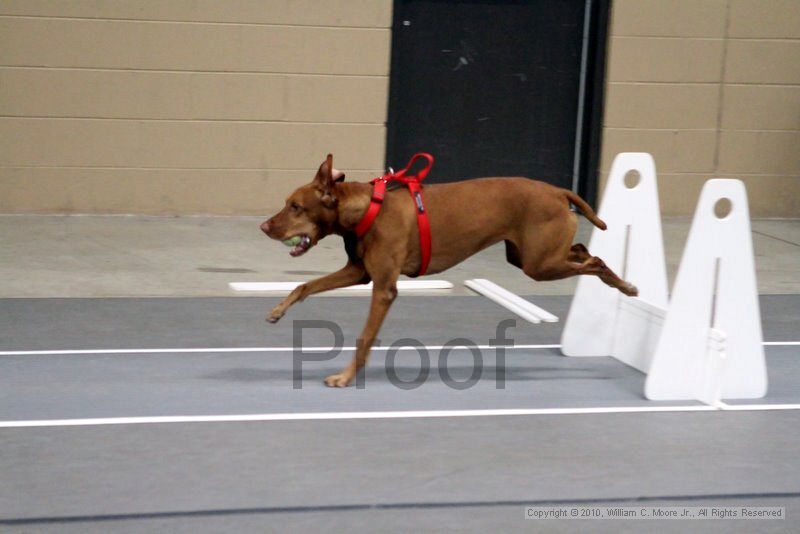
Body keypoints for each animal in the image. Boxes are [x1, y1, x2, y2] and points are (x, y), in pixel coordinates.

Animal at [262, 153, 636, 388]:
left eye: (296, 206)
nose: (264, 227)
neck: (368, 208)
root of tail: (558, 190)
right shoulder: (360, 273)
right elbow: (304, 287)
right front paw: (278, 310)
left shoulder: (383, 288)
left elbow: (365, 337)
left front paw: (345, 377)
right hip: (532, 257)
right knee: (582, 251)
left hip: (540, 264)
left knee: (595, 262)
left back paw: (625, 286)